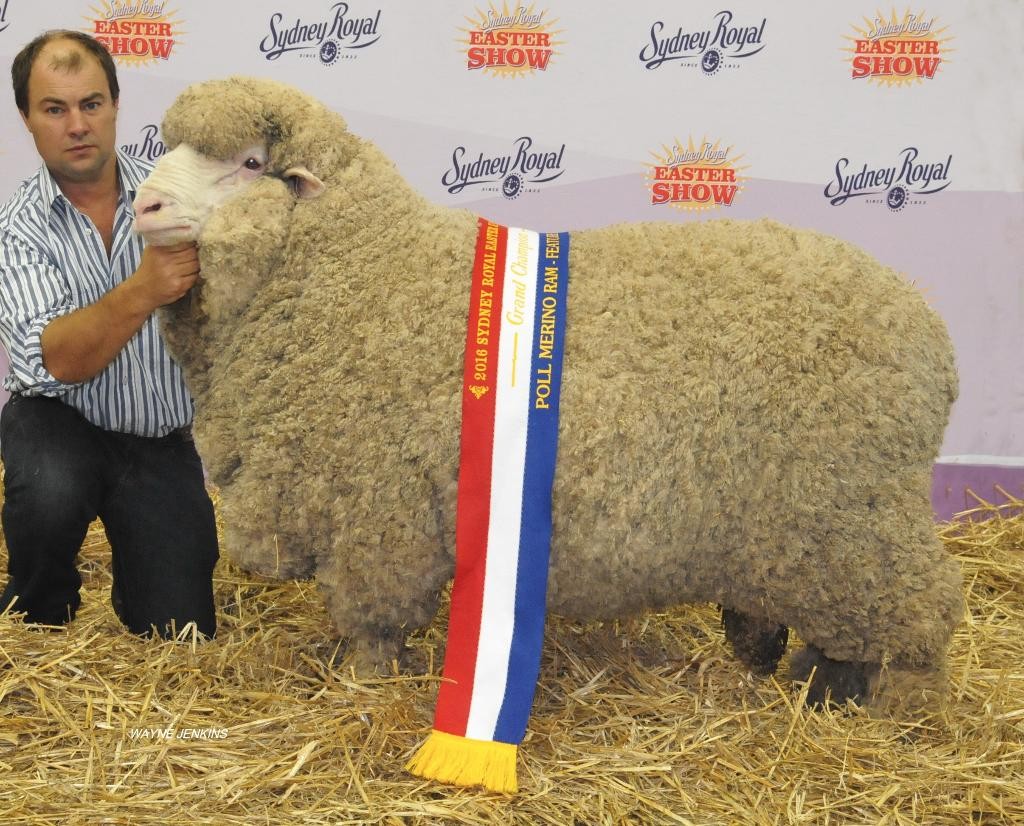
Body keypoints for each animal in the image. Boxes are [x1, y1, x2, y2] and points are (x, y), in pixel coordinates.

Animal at [134, 79, 958, 712]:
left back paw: (883, 709)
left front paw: (364, 684)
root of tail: (930, 336)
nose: (142, 206)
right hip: (827, 534)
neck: (364, 273)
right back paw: (815, 685)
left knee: (918, 617)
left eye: (249, 164)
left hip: (852, 519)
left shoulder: (374, 517)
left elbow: (371, 622)